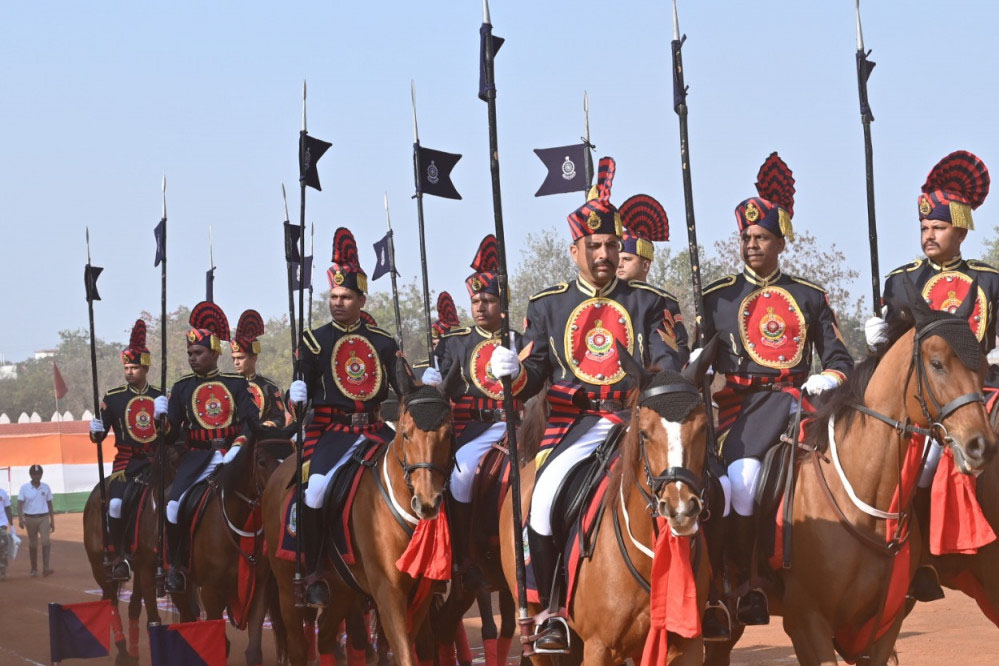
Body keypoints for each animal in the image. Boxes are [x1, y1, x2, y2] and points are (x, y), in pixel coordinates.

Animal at [83, 451, 174, 666]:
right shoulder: (147, 568)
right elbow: (154, 619)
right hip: (99, 566)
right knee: (112, 601)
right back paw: (122, 650)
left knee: (131, 605)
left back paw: (131, 653)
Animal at [170, 433, 292, 666]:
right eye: (261, 461)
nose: (280, 492)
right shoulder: (210, 591)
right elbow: (218, 644)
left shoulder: (258, 587)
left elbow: (253, 651)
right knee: (187, 618)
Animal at [263, 357, 456, 666]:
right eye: (406, 434)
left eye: (448, 434)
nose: (427, 502)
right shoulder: (388, 592)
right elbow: (404, 653)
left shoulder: (421, 595)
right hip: (287, 589)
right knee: (299, 647)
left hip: (342, 589)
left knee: (326, 635)